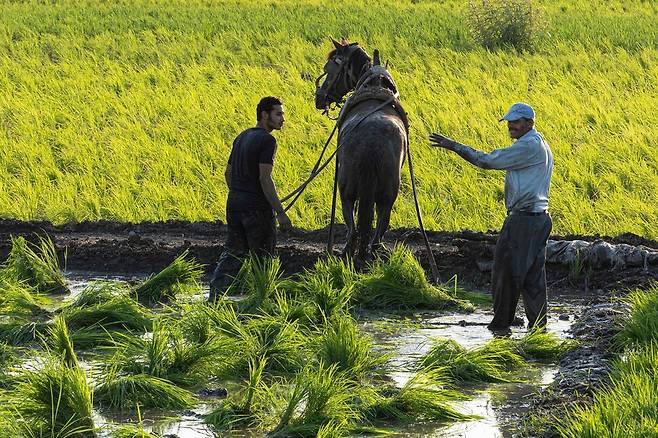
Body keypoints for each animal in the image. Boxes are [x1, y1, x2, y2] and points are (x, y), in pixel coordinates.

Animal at [314, 39, 404, 262]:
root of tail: (371, 139)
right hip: (386, 190)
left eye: (329, 69)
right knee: (380, 218)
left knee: (354, 222)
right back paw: (374, 249)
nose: (319, 98)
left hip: (347, 187)